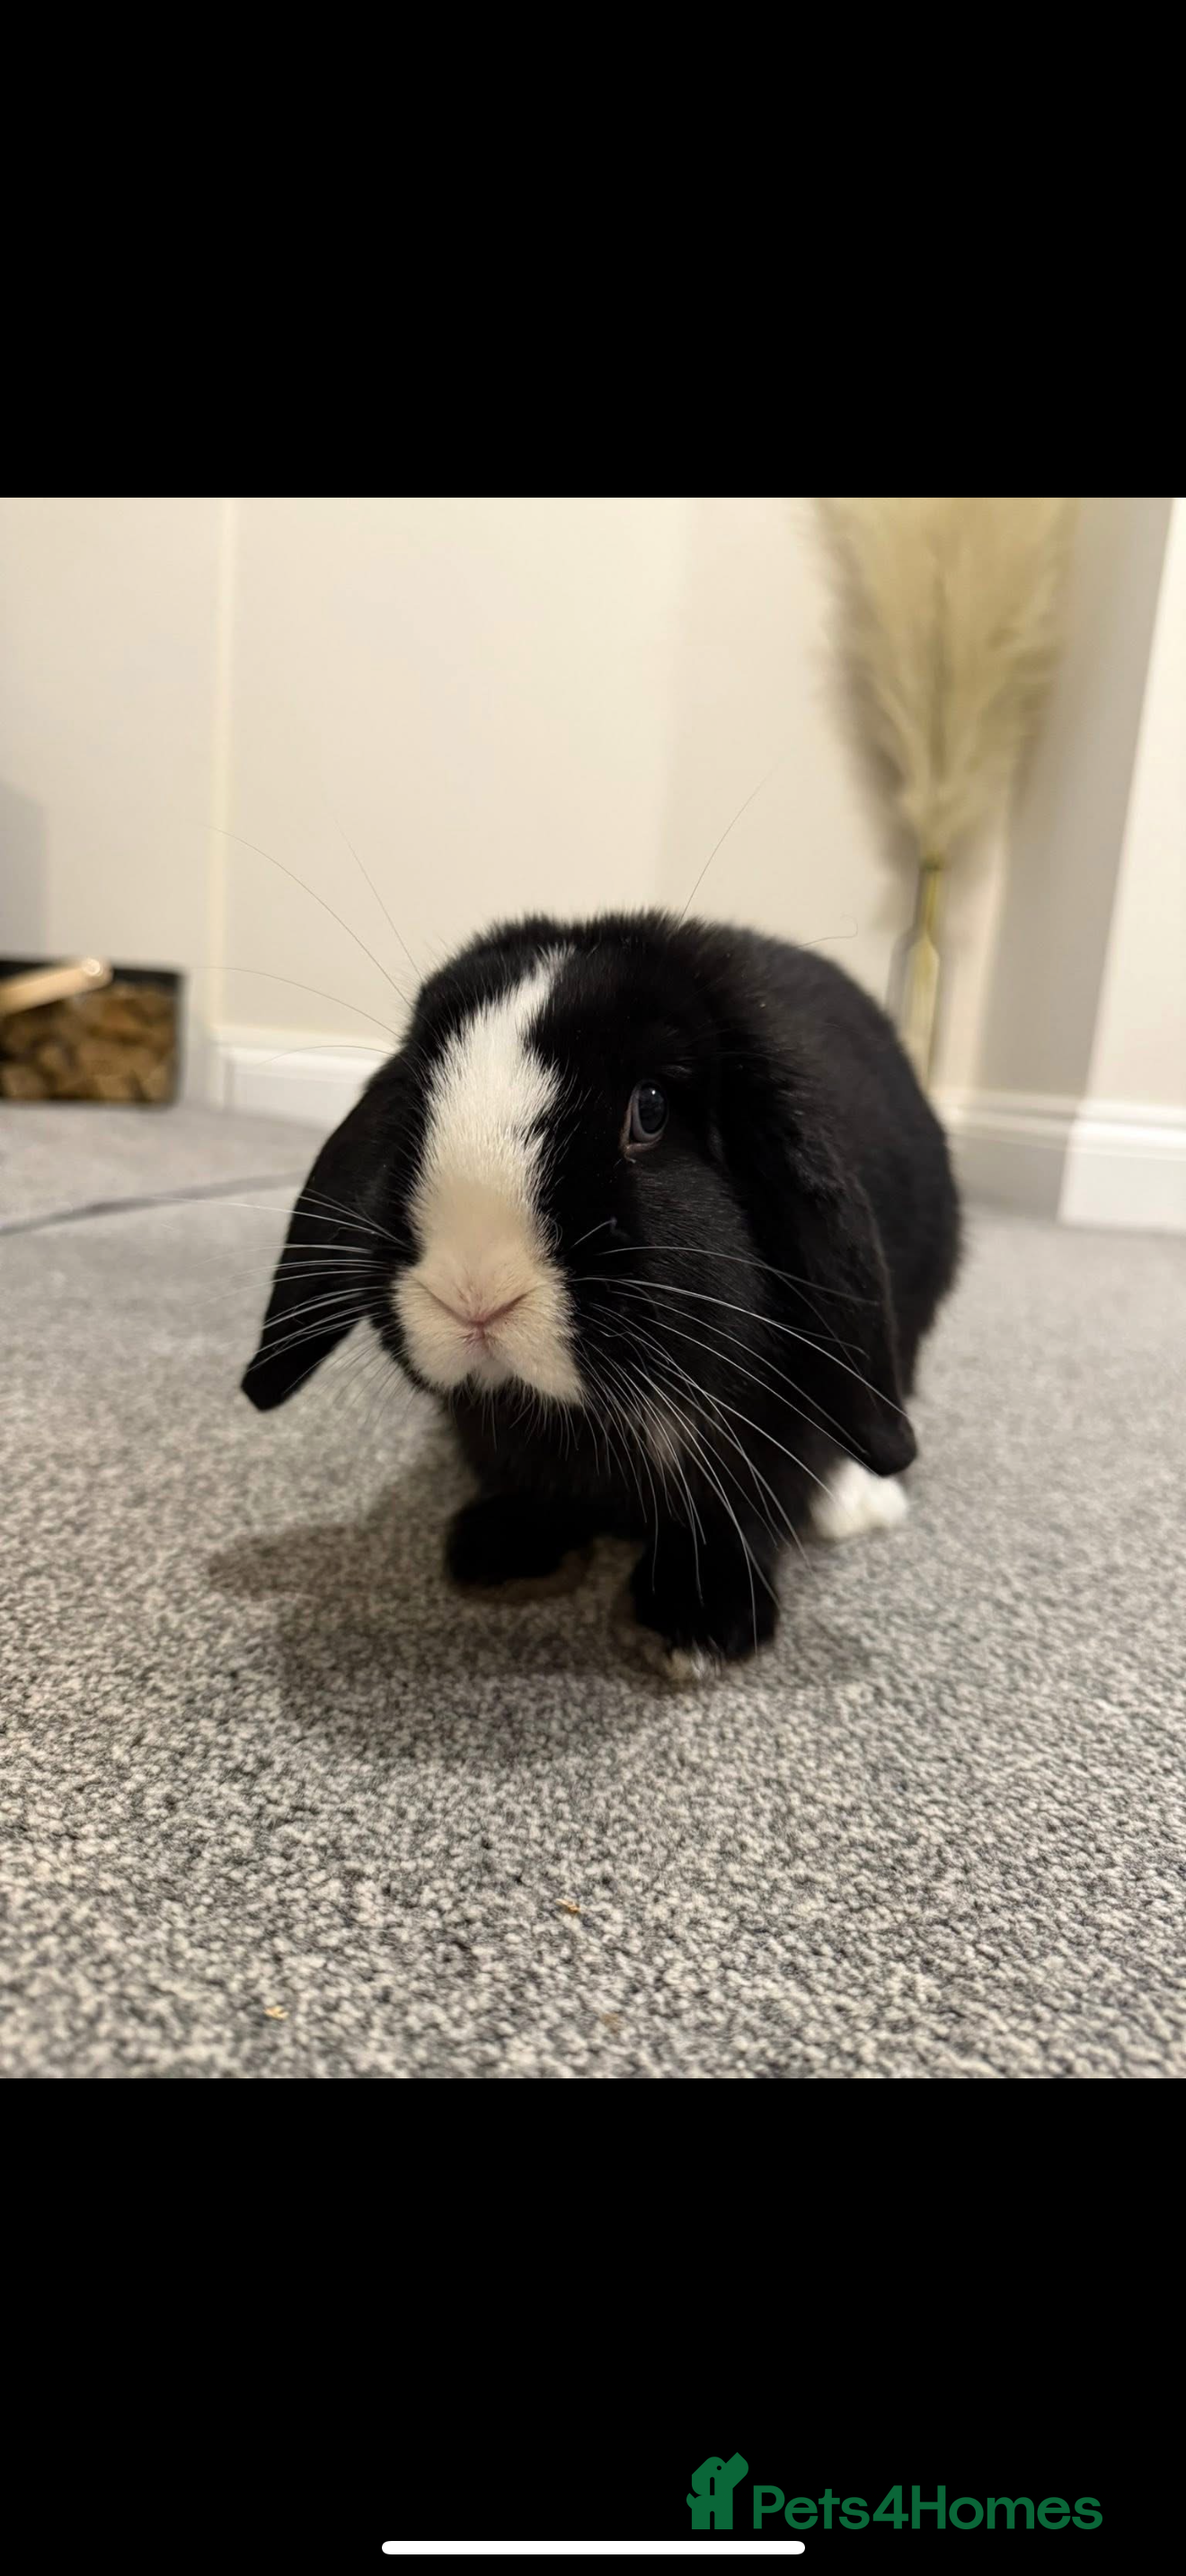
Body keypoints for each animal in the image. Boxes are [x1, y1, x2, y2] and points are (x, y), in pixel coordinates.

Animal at [243, 912, 961, 1675]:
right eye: (417, 1102)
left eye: (650, 1110)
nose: (474, 1292)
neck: (595, 1417)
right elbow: (527, 1483)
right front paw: (500, 1555)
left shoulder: (772, 1433)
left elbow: (744, 1509)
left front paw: (695, 1626)